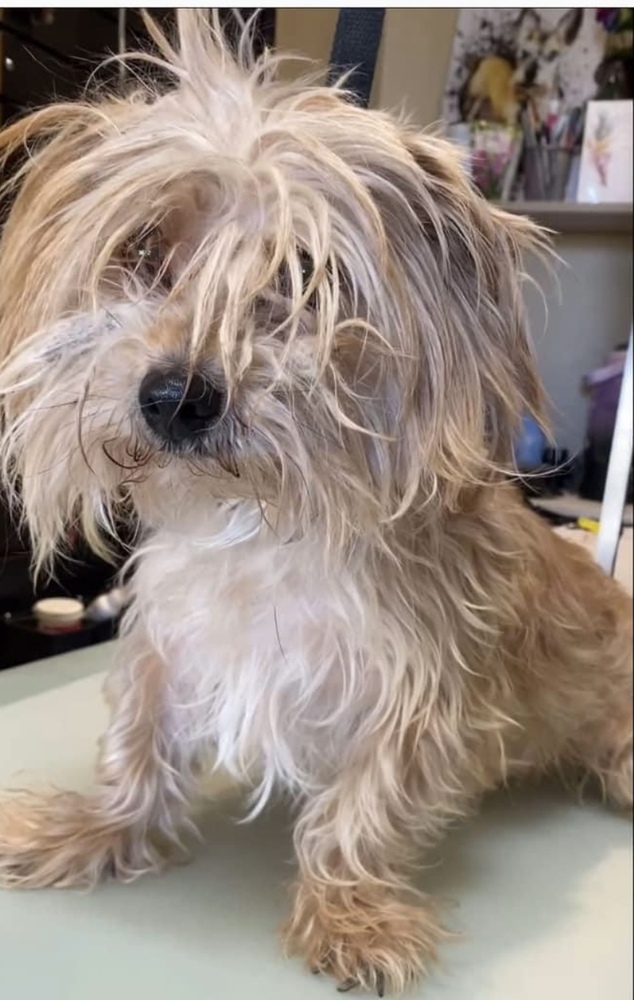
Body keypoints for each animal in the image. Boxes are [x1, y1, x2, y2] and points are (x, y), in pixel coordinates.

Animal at [0, 11, 628, 996]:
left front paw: (351, 914)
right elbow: (137, 748)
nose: (176, 395)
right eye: (141, 252)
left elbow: (364, 807)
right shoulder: (170, 648)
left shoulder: (420, 686)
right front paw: (92, 830)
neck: (262, 527)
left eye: (301, 279)